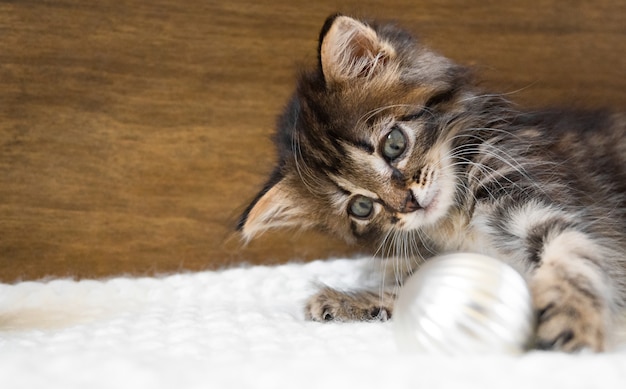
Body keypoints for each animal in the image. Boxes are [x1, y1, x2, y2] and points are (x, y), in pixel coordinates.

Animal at [235, 14, 624, 352]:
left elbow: (573, 253)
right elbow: (415, 288)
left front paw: (571, 318)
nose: (408, 203)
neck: (456, 220)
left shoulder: (544, 199)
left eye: (394, 144)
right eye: (361, 206)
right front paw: (349, 300)